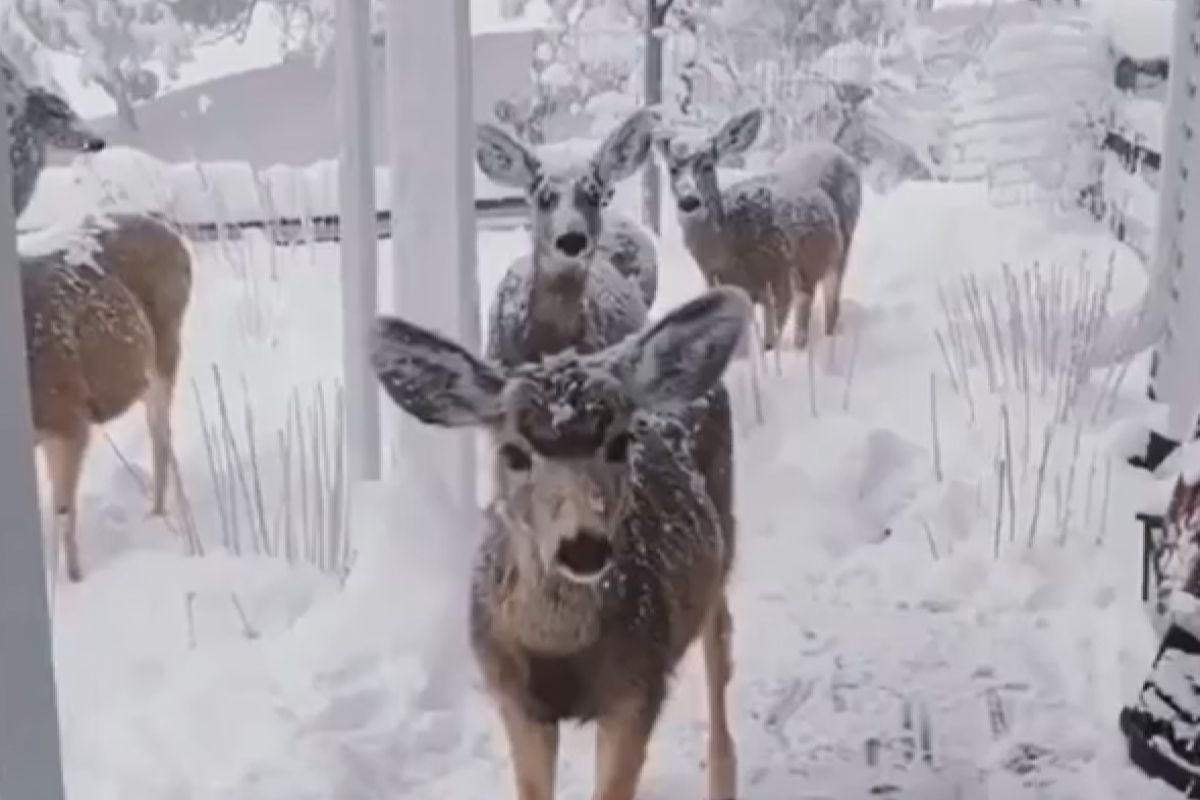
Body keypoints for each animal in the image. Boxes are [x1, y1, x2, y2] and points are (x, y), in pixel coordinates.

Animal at [20, 212, 192, 582]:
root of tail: (167, 229)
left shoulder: (69, 417)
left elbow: (64, 512)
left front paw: (74, 580)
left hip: (166, 348)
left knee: (160, 433)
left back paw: (160, 512)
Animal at [370, 286, 753, 800]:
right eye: (513, 453)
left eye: (619, 443)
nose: (584, 545)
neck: (560, 655)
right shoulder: (514, 697)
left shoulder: (638, 687)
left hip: (723, 539)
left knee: (719, 647)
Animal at [655, 108, 846, 351]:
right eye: (673, 169)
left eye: (707, 165)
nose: (689, 201)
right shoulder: (714, 282)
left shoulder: (776, 275)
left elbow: (772, 335)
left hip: (820, 263)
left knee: (821, 303)